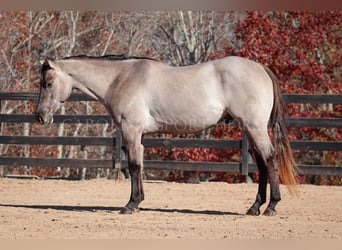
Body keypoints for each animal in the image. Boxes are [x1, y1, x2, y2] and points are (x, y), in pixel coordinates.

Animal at [35, 54, 296, 215]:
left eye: (48, 83)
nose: (40, 116)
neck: (120, 78)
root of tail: (260, 68)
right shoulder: (138, 134)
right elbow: (139, 165)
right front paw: (138, 201)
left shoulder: (131, 129)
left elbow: (133, 166)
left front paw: (131, 205)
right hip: (249, 130)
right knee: (261, 164)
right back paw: (255, 207)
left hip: (255, 128)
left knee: (269, 160)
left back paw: (271, 207)